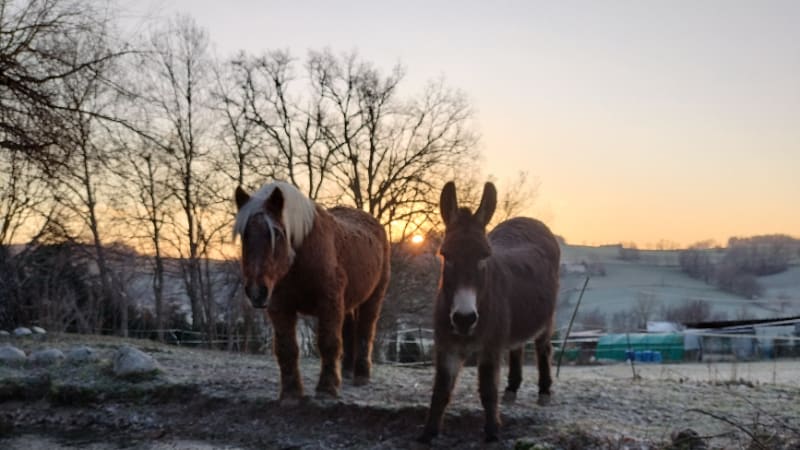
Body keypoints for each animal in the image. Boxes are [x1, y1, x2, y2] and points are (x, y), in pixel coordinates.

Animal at [234, 181, 390, 402]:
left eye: (277, 234)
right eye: (244, 235)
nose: (256, 291)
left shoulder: (329, 303)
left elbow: (328, 343)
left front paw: (327, 389)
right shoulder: (280, 306)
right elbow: (286, 348)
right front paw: (291, 393)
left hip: (373, 297)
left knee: (365, 331)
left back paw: (361, 375)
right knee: (349, 329)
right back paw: (347, 371)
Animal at [422, 181, 560, 442]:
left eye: (484, 256)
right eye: (446, 255)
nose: (464, 319)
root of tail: (529, 219)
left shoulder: (490, 348)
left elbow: (487, 391)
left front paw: (492, 433)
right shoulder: (446, 346)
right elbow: (441, 391)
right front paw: (429, 433)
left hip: (546, 319)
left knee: (544, 348)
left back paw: (545, 392)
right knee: (517, 346)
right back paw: (512, 389)